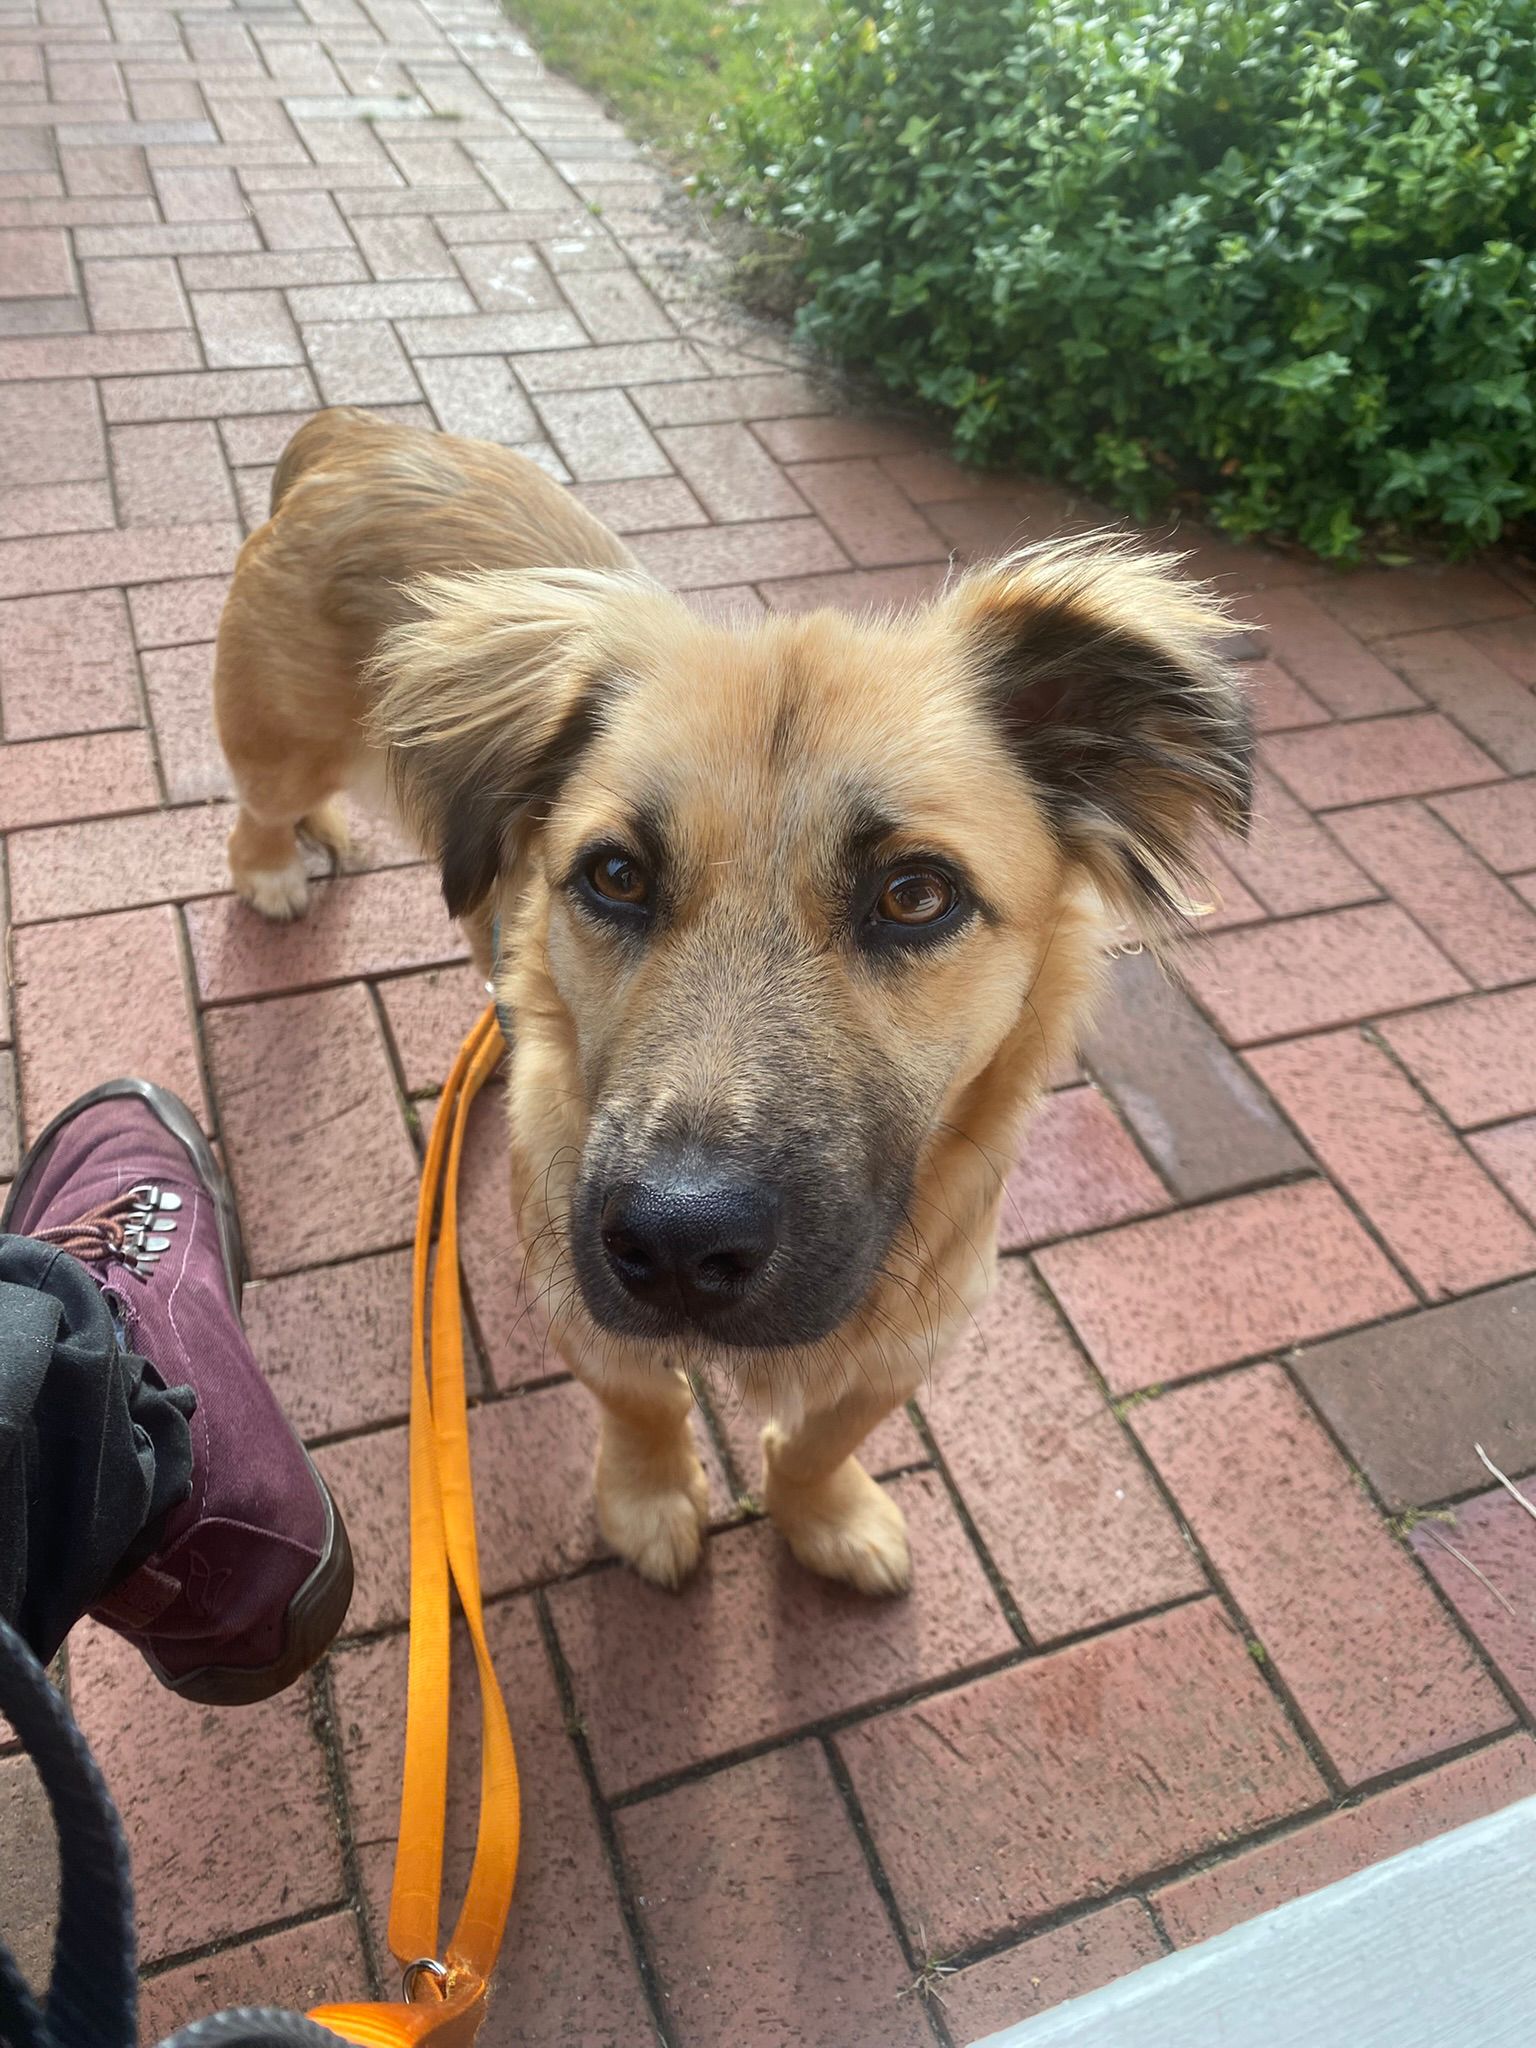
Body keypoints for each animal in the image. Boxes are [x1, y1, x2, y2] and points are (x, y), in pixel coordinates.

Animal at [213, 406, 1252, 1596]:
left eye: (916, 894)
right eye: (615, 875)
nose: (673, 1244)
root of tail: (352, 434)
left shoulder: (914, 1332)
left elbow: (820, 1438)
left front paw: (826, 1515)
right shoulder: (576, 1287)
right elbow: (645, 1401)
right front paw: (650, 1499)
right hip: (280, 738)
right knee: (256, 805)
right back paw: (276, 864)